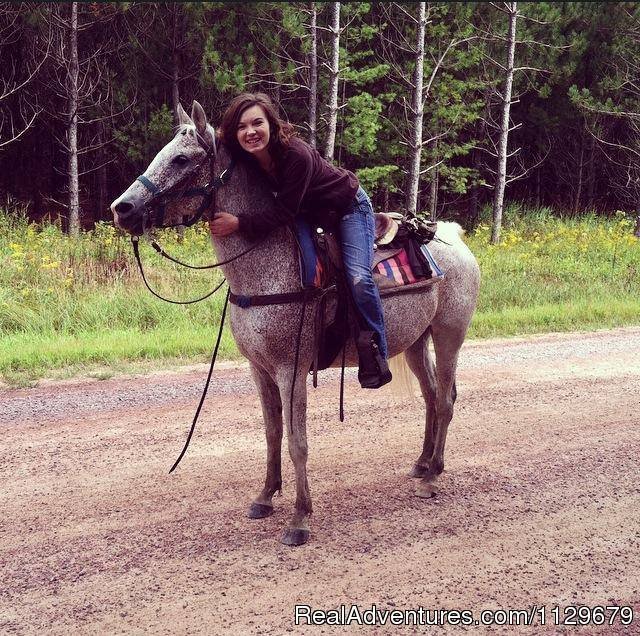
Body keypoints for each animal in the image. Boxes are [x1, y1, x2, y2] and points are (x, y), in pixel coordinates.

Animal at [111, 100, 480, 548]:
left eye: (181, 159)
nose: (122, 209)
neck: (265, 268)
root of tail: (452, 236)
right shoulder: (260, 369)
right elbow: (272, 433)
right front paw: (265, 496)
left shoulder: (292, 370)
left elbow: (297, 440)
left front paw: (300, 518)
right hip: (415, 342)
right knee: (430, 397)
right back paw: (423, 463)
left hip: (448, 336)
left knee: (445, 400)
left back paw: (432, 479)